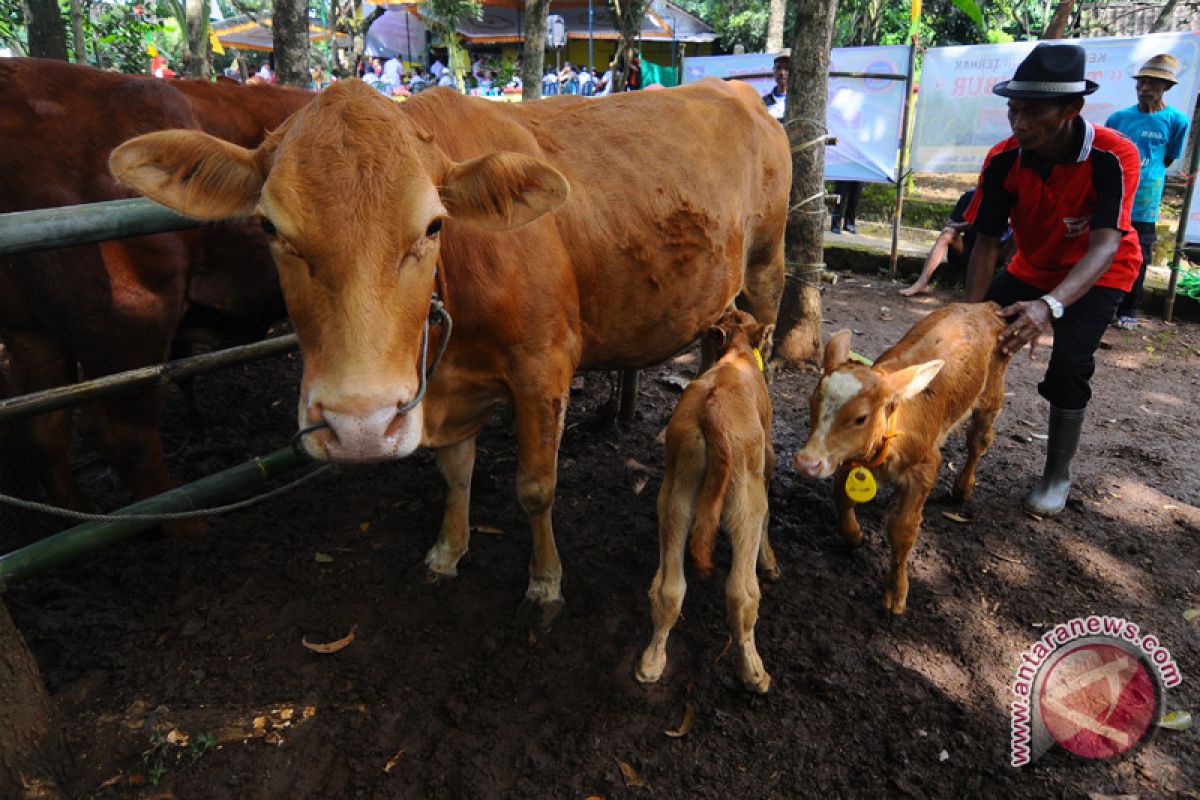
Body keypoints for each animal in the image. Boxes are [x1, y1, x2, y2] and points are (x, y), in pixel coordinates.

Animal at [0, 61, 309, 525]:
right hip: (131, 320)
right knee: (124, 434)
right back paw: (185, 527)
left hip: (34, 333)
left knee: (47, 429)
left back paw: (82, 514)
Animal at [110, 76, 787, 623]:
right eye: (269, 227)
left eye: (434, 225)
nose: (358, 426)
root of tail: (737, 89)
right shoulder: (448, 387)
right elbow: (454, 471)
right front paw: (446, 551)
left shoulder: (544, 368)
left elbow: (535, 487)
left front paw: (545, 585)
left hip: (767, 269)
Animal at [638, 309, 777, 690]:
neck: (737, 356)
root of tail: (713, 412)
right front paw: (770, 562)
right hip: (746, 504)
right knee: (741, 595)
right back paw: (754, 672)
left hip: (676, 498)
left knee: (669, 589)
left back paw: (651, 663)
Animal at [796, 303, 1012, 618]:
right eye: (813, 402)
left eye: (861, 418)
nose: (806, 462)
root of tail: (985, 307)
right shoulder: (845, 457)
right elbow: (842, 497)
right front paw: (854, 535)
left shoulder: (924, 466)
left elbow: (902, 530)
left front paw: (896, 593)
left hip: (991, 394)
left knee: (979, 440)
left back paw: (962, 488)